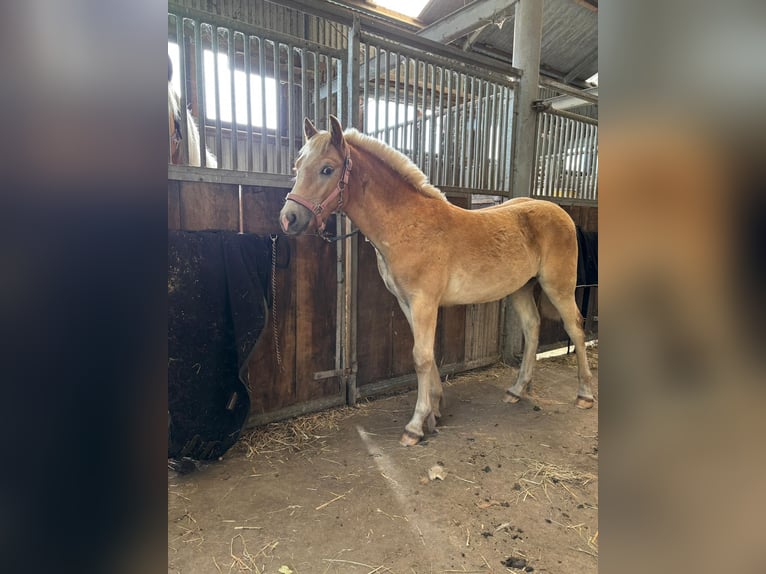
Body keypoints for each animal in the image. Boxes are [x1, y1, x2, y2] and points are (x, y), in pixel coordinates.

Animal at [280, 116, 596, 450]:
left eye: (327, 169)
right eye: (297, 166)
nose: (289, 218)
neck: (408, 224)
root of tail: (559, 212)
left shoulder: (424, 302)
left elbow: (421, 357)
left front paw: (415, 426)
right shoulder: (407, 303)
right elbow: (427, 353)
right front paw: (434, 411)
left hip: (558, 287)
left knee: (575, 327)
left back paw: (584, 395)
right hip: (521, 288)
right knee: (532, 327)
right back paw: (516, 389)